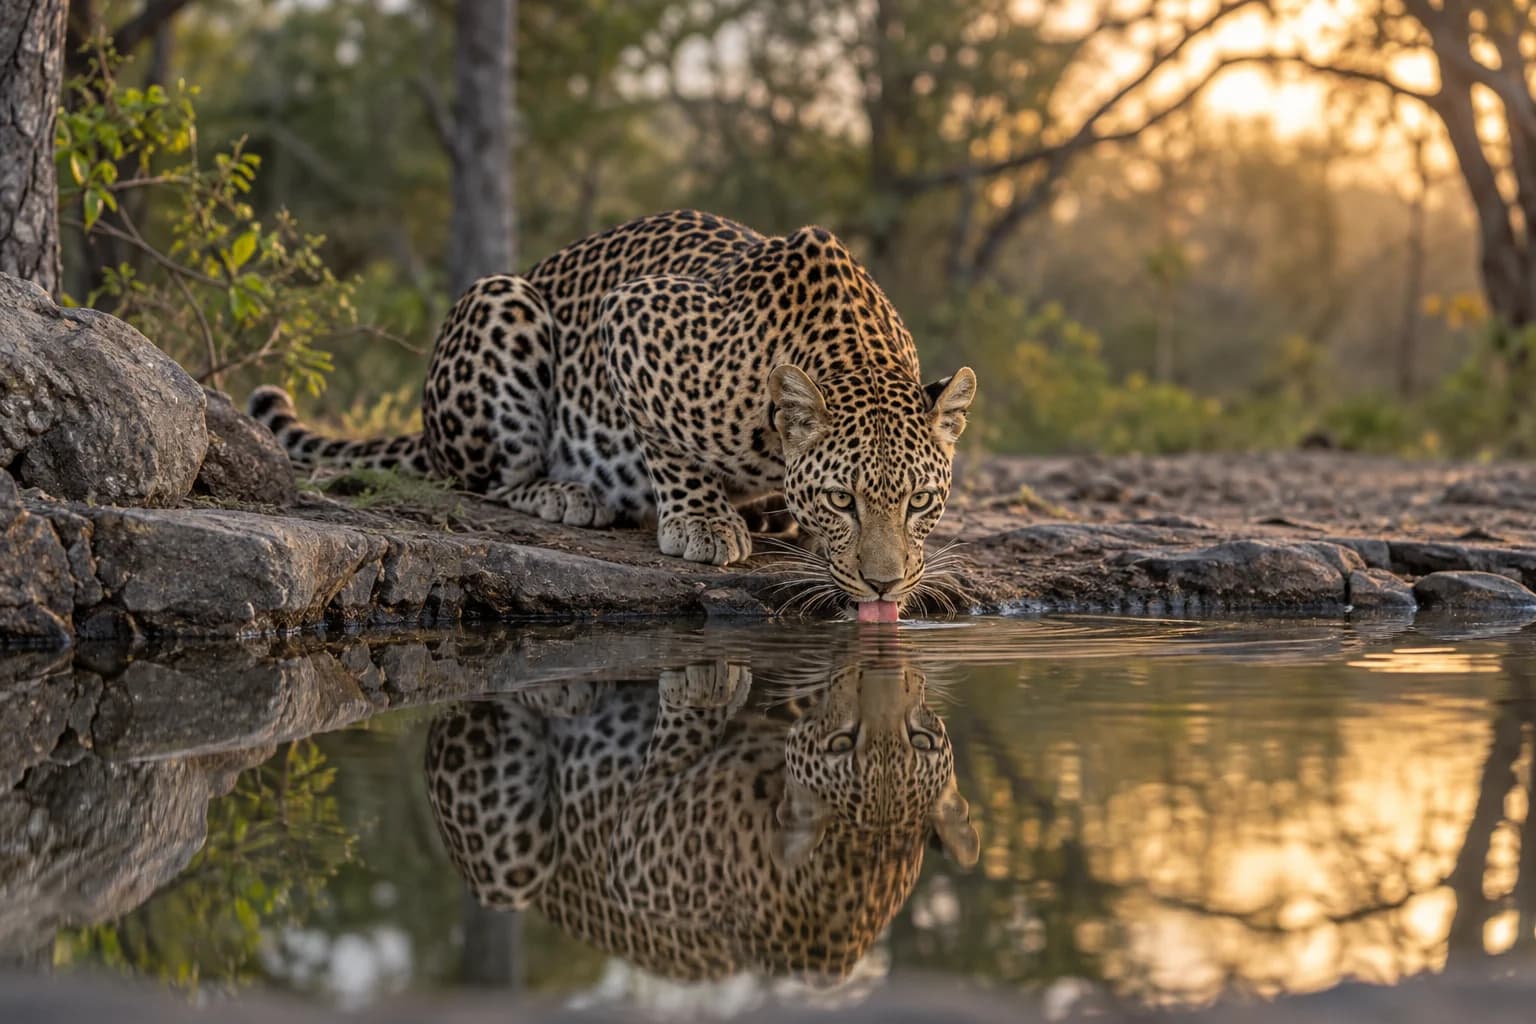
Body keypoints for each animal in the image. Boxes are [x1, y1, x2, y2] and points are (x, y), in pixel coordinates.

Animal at [249, 209, 975, 615]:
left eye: (918, 502)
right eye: (842, 499)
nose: (883, 587)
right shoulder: (631, 314)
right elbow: (669, 449)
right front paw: (702, 524)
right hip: (502, 304)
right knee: (487, 481)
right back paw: (567, 494)